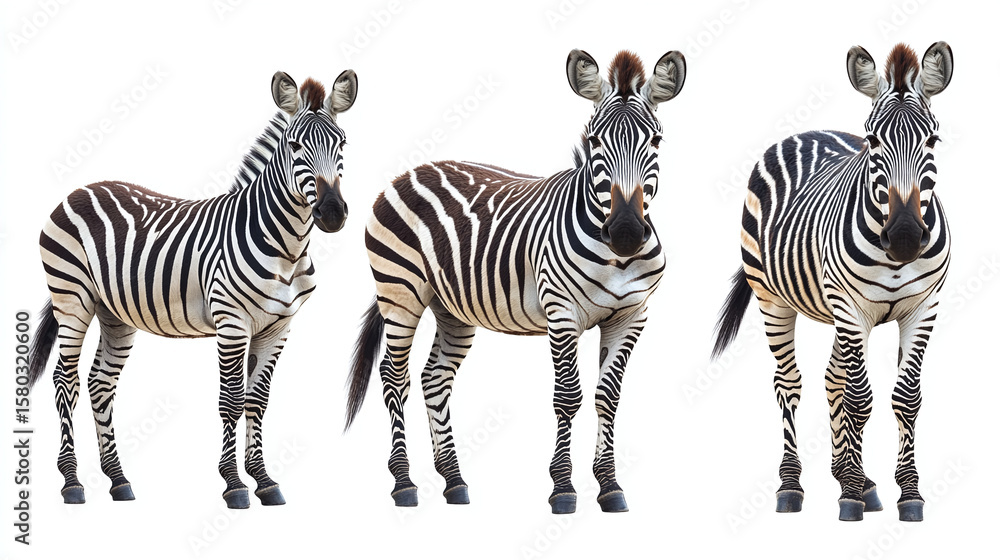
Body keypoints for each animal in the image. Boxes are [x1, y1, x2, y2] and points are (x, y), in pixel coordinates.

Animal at [26, 69, 358, 509]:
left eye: (342, 143)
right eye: (294, 145)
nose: (332, 213)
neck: (285, 246)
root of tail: (80, 189)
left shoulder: (279, 327)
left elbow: (257, 401)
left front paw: (264, 479)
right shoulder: (232, 322)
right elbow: (231, 400)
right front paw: (234, 484)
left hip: (113, 312)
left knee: (100, 383)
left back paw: (118, 479)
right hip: (72, 299)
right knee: (66, 382)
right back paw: (71, 482)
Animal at [345, 49, 685, 514]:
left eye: (656, 142)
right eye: (594, 142)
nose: (627, 231)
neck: (617, 257)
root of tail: (412, 170)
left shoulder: (631, 315)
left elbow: (607, 398)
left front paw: (610, 485)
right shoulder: (562, 312)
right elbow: (569, 395)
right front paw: (563, 488)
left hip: (451, 307)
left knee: (434, 378)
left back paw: (454, 479)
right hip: (400, 292)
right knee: (395, 378)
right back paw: (404, 482)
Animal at [712, 42, 953, 522]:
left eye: (933, 141)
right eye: (873, 141)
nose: (904, 236)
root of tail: (808, 131)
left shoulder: (924, 306)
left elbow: (906, 398)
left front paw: (907, 494)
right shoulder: (852, 308)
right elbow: (859, 399)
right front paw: (850, 499)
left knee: (831, 379)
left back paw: (856, 478)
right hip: (775, 300)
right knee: (789, 383)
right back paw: (793, 486)